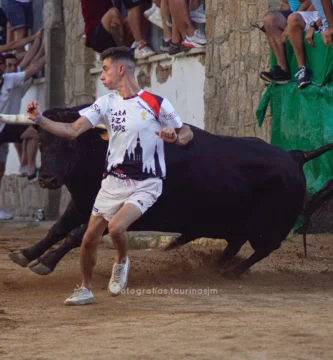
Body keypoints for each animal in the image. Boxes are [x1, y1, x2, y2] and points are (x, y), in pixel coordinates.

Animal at [8, 105, 333, 278]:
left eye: (73, 144)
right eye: (43, 142)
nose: (47, 178)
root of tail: (294, 156)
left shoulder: (129, 212)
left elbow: (76, 235)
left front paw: (45, 263)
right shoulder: (84, 203)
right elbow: (58, 229)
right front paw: (25, 253)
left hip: (266, 227)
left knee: (264, 248)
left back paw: (231, 273)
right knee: (236, 243)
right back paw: (216, 266)